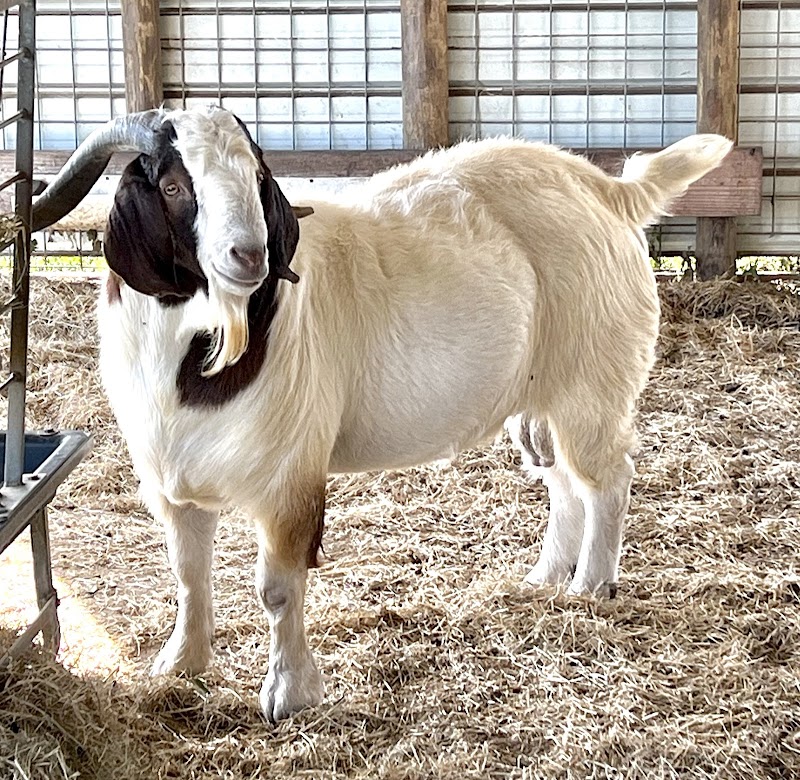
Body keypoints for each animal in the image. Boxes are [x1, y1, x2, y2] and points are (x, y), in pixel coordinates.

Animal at [32, 106, 732, 720]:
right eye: (176, 185)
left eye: (256, 179)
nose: (250, 257)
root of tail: (610, 190)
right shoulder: (170, 480)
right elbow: (187, 574)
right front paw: (181, 664)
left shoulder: (289, 476)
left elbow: (277, 588)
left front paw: (290, 695)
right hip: (536, 396)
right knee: (562, 482)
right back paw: (543, 579)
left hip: (592, 384)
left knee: (606, 479)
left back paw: (591, 585)